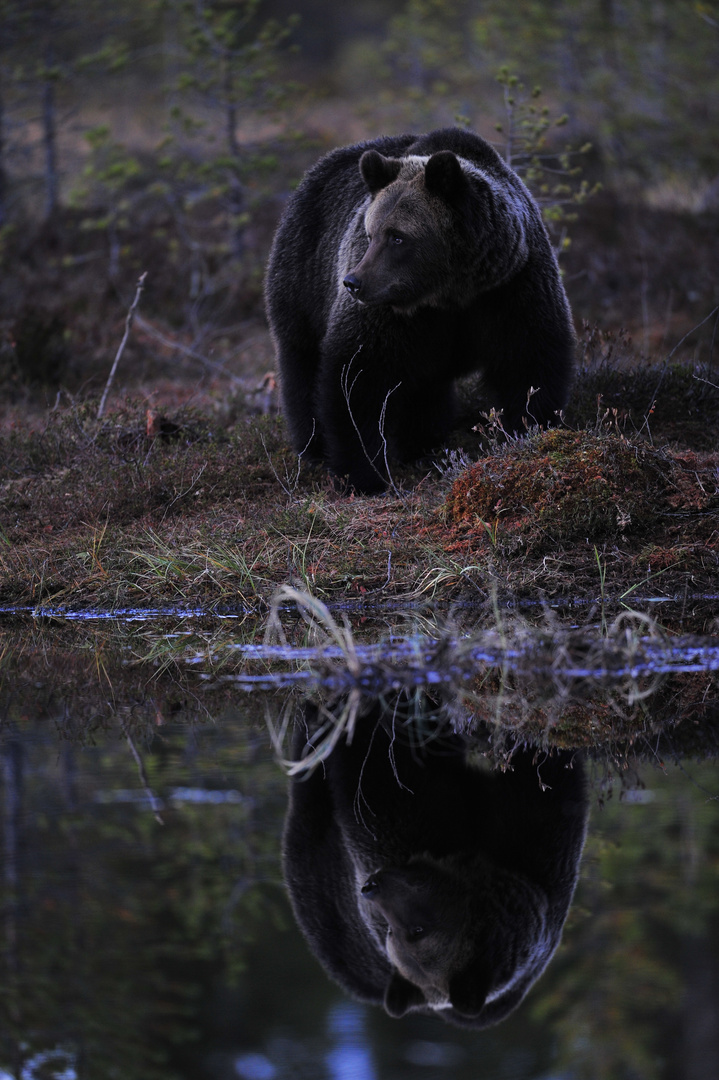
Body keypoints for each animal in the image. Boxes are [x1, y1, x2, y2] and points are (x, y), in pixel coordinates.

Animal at [265, 126, 574, 494]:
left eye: (397, 236)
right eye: (370, 232)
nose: (353, 282)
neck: (449, 293)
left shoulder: (510, 288)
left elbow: (529, 361)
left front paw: (531, 429)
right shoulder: (387, 316)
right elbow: (356, 381)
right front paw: (363, 474)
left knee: (425, 389)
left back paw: (423, 443)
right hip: (303, 278)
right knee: (302, 362)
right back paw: (313, 447)